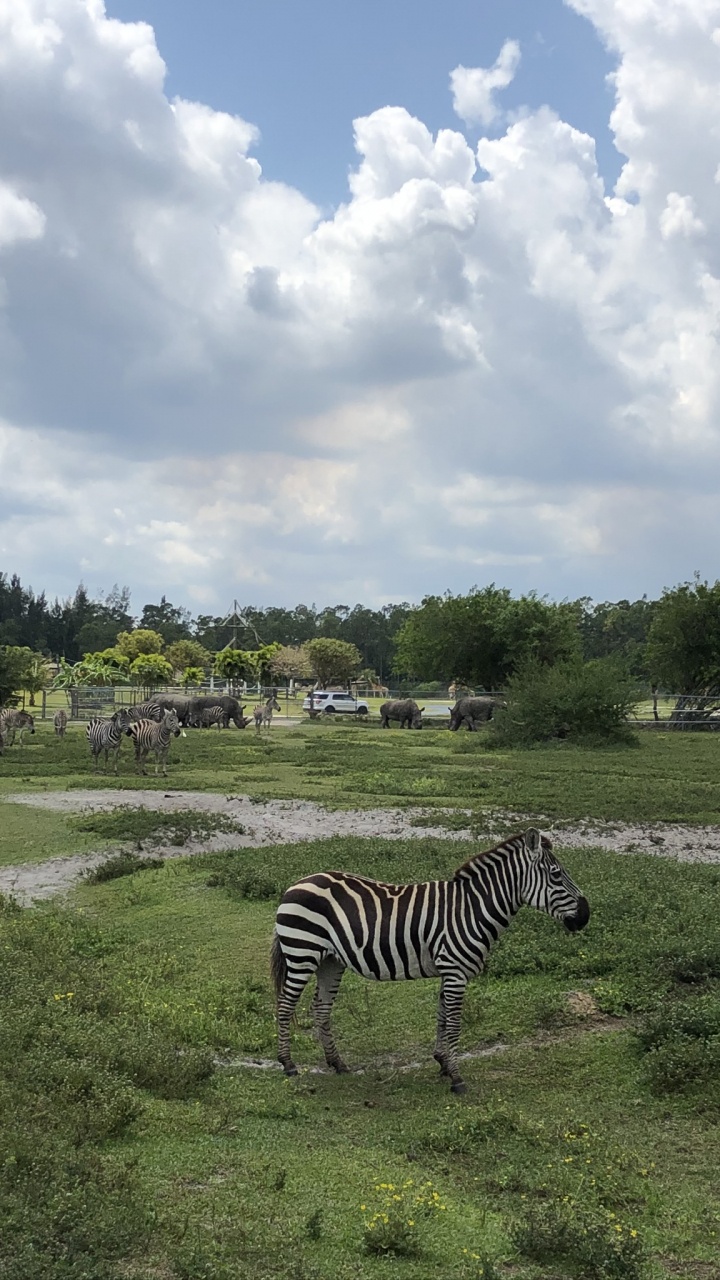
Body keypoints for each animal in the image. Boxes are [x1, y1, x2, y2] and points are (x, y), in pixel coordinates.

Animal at [271, 828, 589, 1094]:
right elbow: (455, 1023)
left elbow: (442, 1016)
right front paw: (457, 1078)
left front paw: (443, 1063)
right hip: (302, 952)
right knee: (285, 1004)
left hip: (330, 960)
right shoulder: (456, 970)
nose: (586, 916)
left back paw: (337, 1063)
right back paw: (288, 1064)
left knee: (321, 1008)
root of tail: (296, 883)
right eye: (556, 875)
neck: (472, 908)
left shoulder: (449, 970)